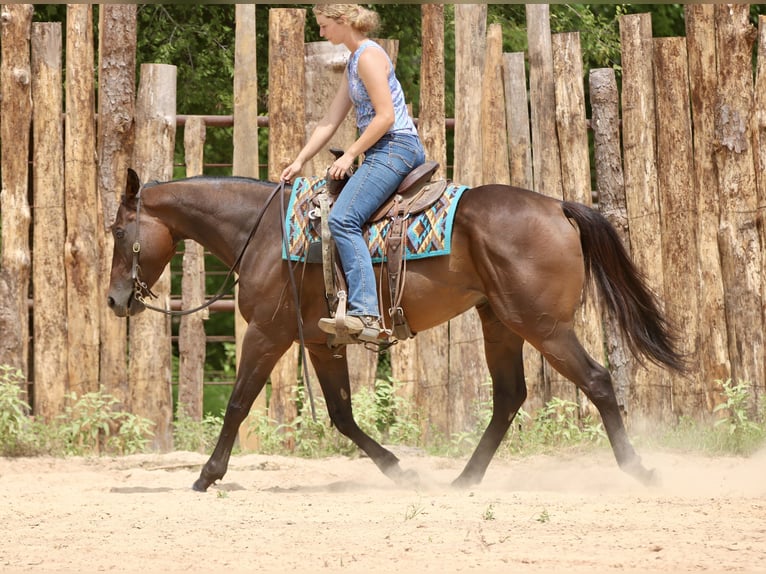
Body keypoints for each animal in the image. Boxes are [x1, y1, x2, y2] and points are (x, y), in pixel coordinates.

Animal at [107, 167, 685, 492]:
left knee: (597, 380)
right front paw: (400, 471)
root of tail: (558, 206)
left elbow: (238, 403)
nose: (114, 299)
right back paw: (464, 480)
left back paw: (638, 470)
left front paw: (206, 475)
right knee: (508, 397)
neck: (263, 232)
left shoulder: (267, 335)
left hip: (543, 325)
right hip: (499, 321)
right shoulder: (322, 341)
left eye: (117, 230)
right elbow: (342, 416)